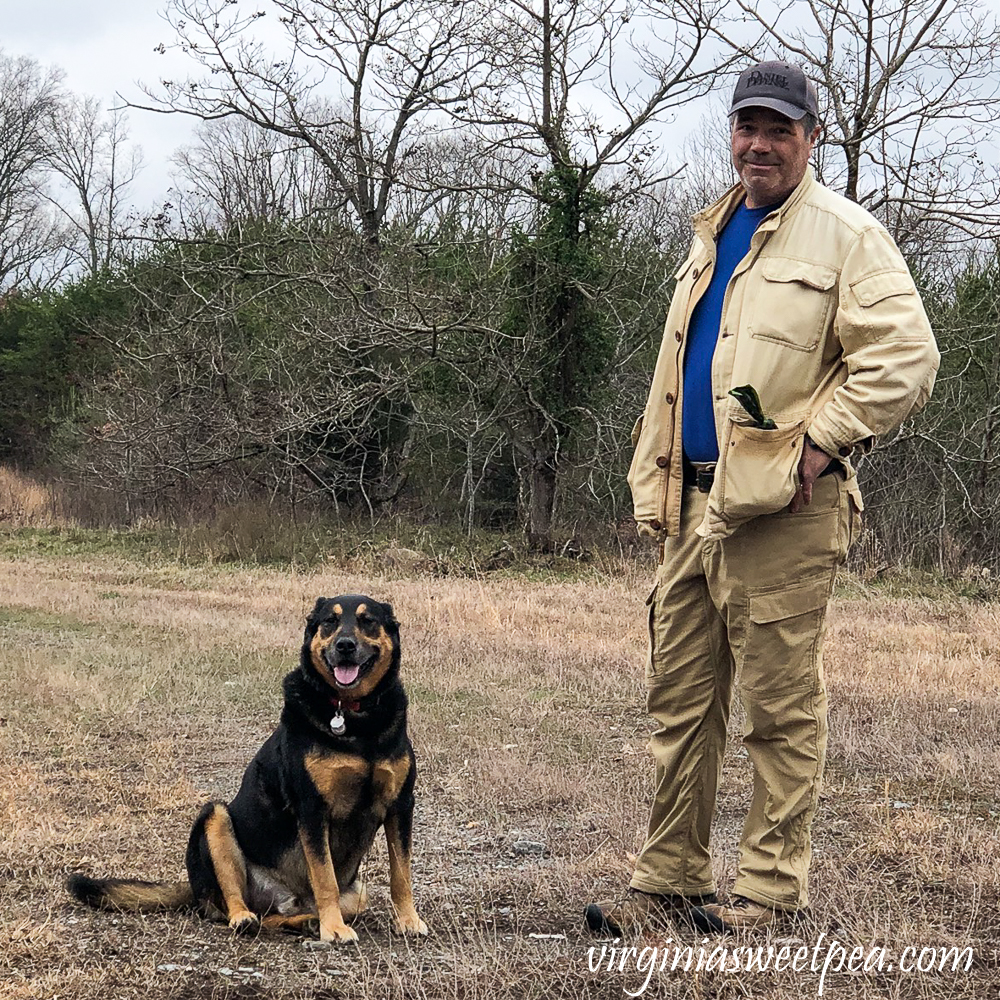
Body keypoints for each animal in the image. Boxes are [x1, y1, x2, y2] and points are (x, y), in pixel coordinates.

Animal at [66, 592, 426, 944]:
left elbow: (401, 873)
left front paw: (408, 920)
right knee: (236, 903)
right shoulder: (313, 808)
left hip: (357, 893)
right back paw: (248, 918)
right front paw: (334, 928)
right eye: (330, 622)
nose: (345, 645)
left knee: (278, 915)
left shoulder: (400, 805)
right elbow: (326, 880)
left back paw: (307, 922)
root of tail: (195, 889)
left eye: (368, 621)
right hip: (214, 818)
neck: (353, 718)